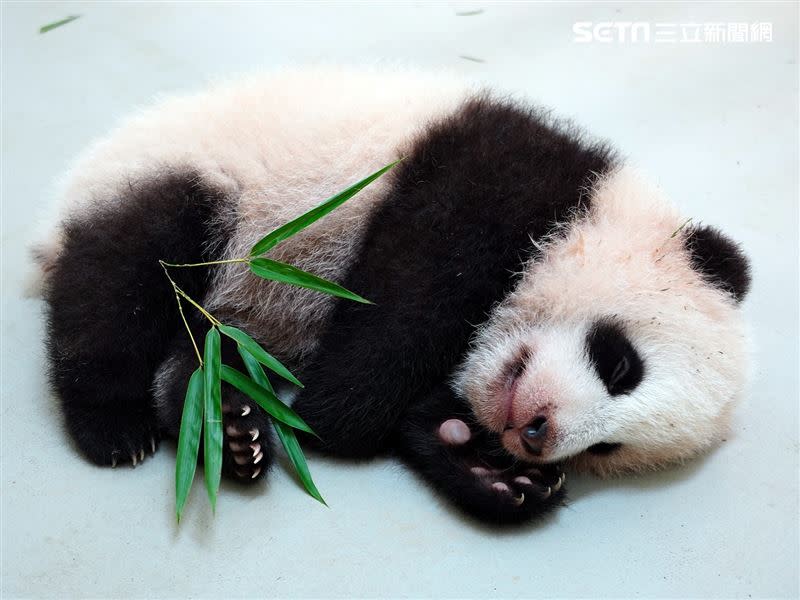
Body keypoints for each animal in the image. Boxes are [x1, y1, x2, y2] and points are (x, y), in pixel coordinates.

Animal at [34, 67, 752, 524]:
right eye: (622, 364)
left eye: (608, 449)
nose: (536, 436)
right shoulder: (487, 177)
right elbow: (410, 299)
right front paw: (333, 414)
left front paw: (494, 471)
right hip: (194, 185)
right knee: (120, 284)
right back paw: (116, 426)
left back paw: (227, 415)